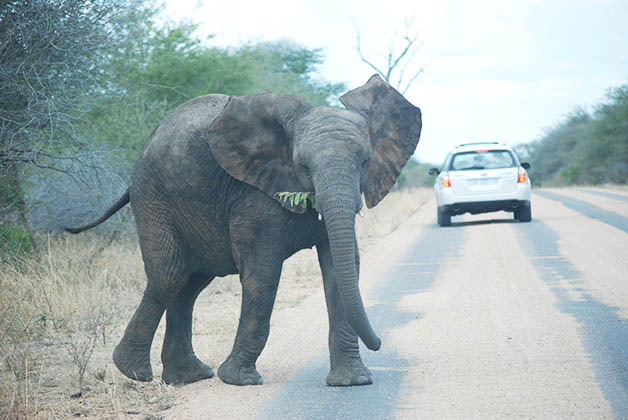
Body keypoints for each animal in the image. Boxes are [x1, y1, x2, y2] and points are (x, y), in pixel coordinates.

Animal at [66, 75, 422, 388]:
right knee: (170, 275)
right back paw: (133, 371)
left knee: (190, 284)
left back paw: (187, 376)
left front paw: (352, 382)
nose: (379, 343)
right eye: (304, 166)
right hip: (154, 194)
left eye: (364, 162)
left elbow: (339, 270)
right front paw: (240, 380)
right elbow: (262, 273)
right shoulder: (254, 194)